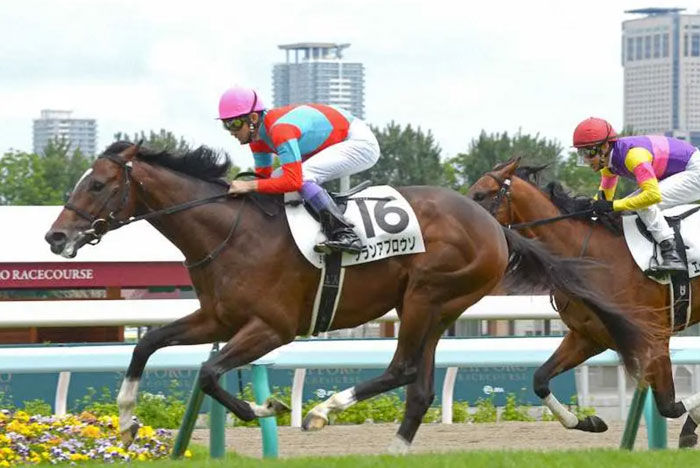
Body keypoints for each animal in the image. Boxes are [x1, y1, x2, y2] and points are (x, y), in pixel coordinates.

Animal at [45, 142, 648, 453]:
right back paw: (393, 450)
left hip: (427, 295)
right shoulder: (217, 317)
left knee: (403, 369)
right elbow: (146, 345)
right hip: (434, 307)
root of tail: (495, 227)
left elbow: (210, 373)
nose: (55, 237)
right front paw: (126, 421)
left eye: (97, 184)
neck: (230, 231)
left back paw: (321, 412)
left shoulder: (272, 328)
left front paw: (269, 406)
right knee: (419, 386)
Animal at [467, 157, 700, 447]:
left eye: (480, 194)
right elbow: (540, 379)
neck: (590, 257)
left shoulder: (653, 337)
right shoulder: (588, 335)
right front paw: (589, 421)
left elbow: (669, 405)